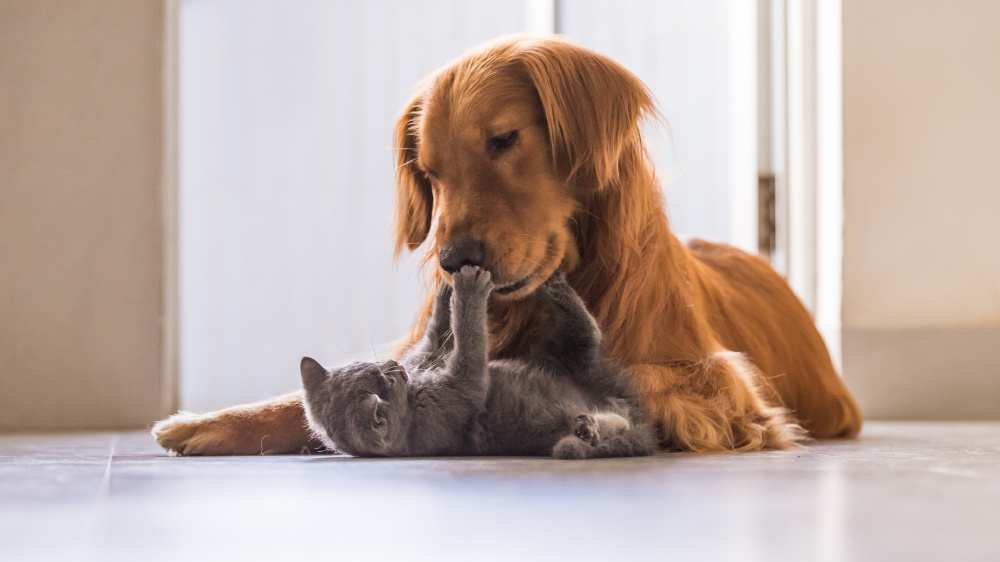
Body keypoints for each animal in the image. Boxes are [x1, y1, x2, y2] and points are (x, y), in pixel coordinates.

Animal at [300, 264, 660, 458]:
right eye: (384, 383)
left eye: (371, 369)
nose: (394, 367)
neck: (414, 399)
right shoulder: (456, 394)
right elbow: (469, 342)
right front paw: (468, 286)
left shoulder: (427, 358)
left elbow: (437, 334)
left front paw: (445, 285)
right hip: (572, 365)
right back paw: (588, 429)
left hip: (565, 357)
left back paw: (553, 286)